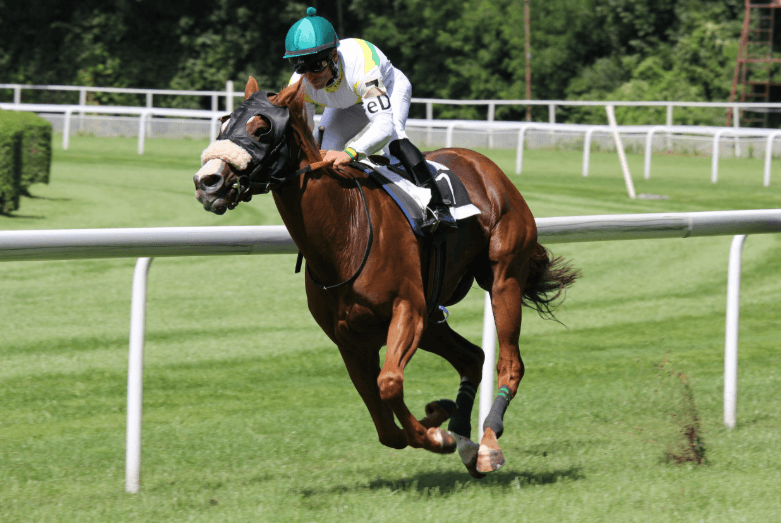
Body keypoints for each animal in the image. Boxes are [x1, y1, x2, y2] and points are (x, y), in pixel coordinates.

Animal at [193, 77, 578, 478]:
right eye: (224, 124)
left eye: (261, 128)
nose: (207, 181)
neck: (345, 232)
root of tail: (485, 165)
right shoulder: (350, 339)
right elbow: (384, 423)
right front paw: (439, 419)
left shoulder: (406, 310)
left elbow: (389, 384)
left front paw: (437, 435)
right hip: (433, 317)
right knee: (473, 357)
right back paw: (464, 438)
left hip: (503, 278)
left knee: (510, 363)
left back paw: (487, 443)